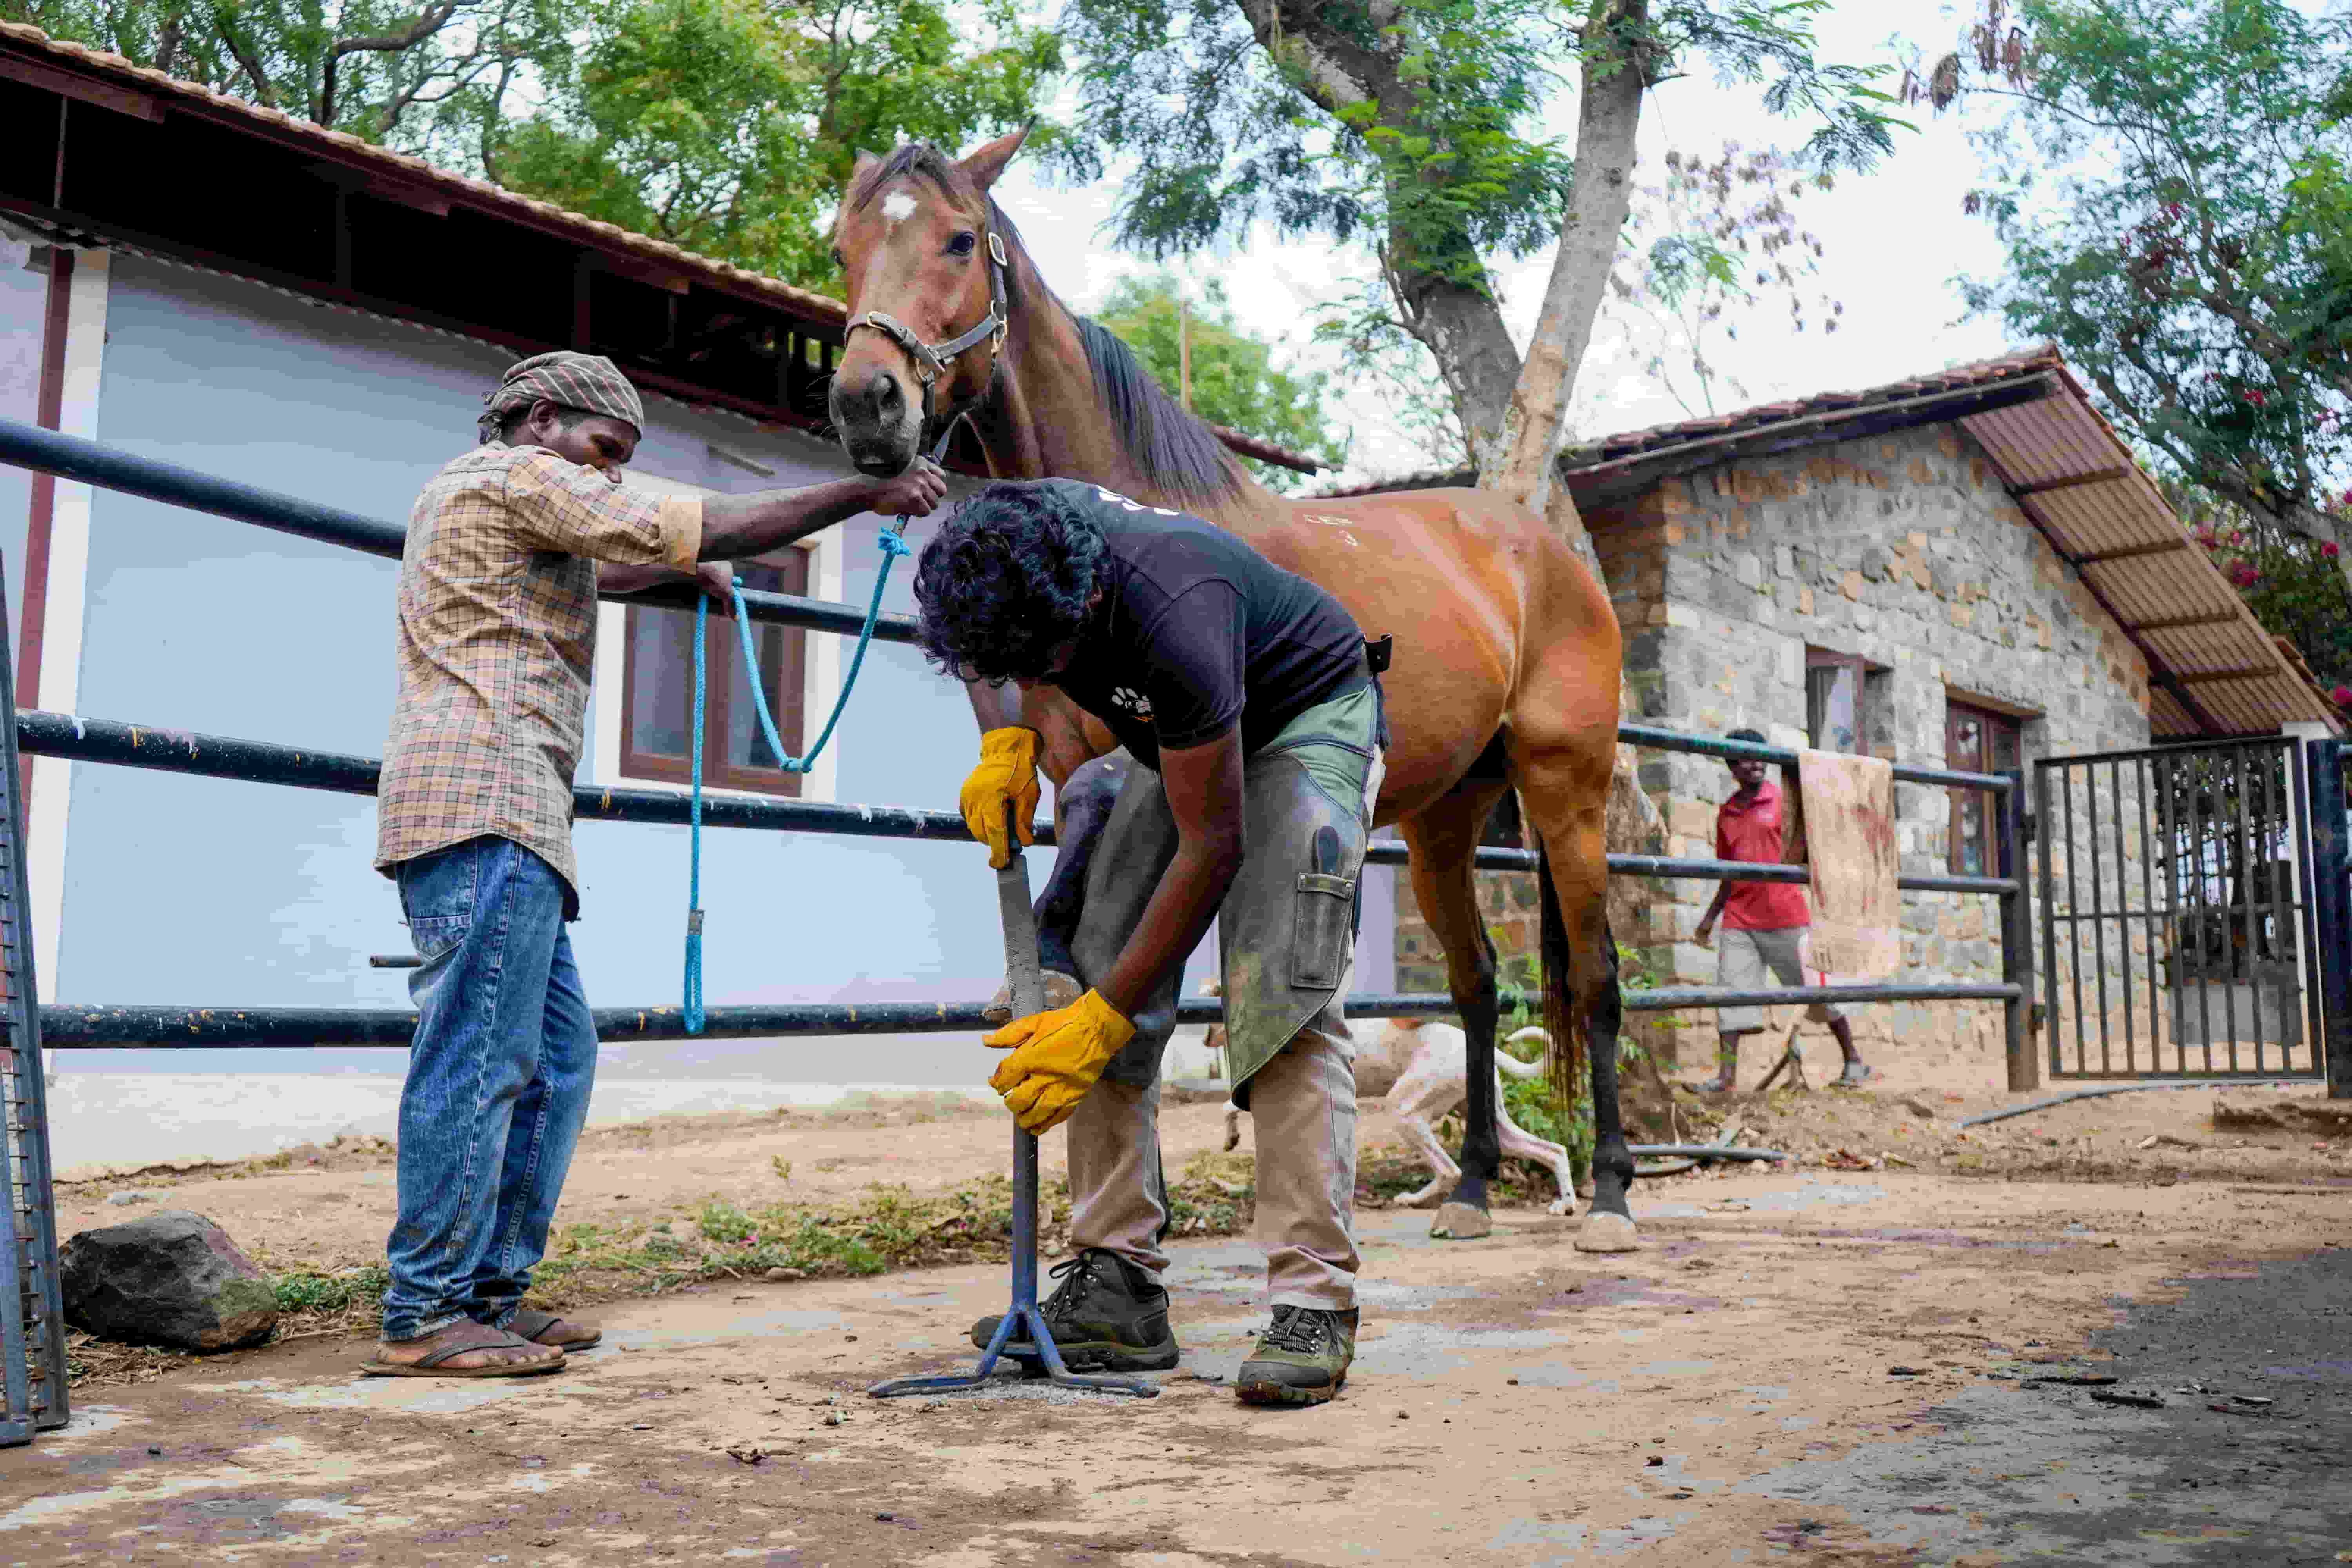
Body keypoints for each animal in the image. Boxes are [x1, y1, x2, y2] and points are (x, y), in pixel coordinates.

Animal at [825, 129, 1638, 1253]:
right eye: (843, 245)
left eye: (956, 238)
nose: (869, 405)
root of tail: (1544, 551)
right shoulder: (1073, 760)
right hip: (1446, 818)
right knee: (1477, 984)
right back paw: (1473, 1188)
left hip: (1568, 791)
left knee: (1597, 979)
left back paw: (1609, 1197)